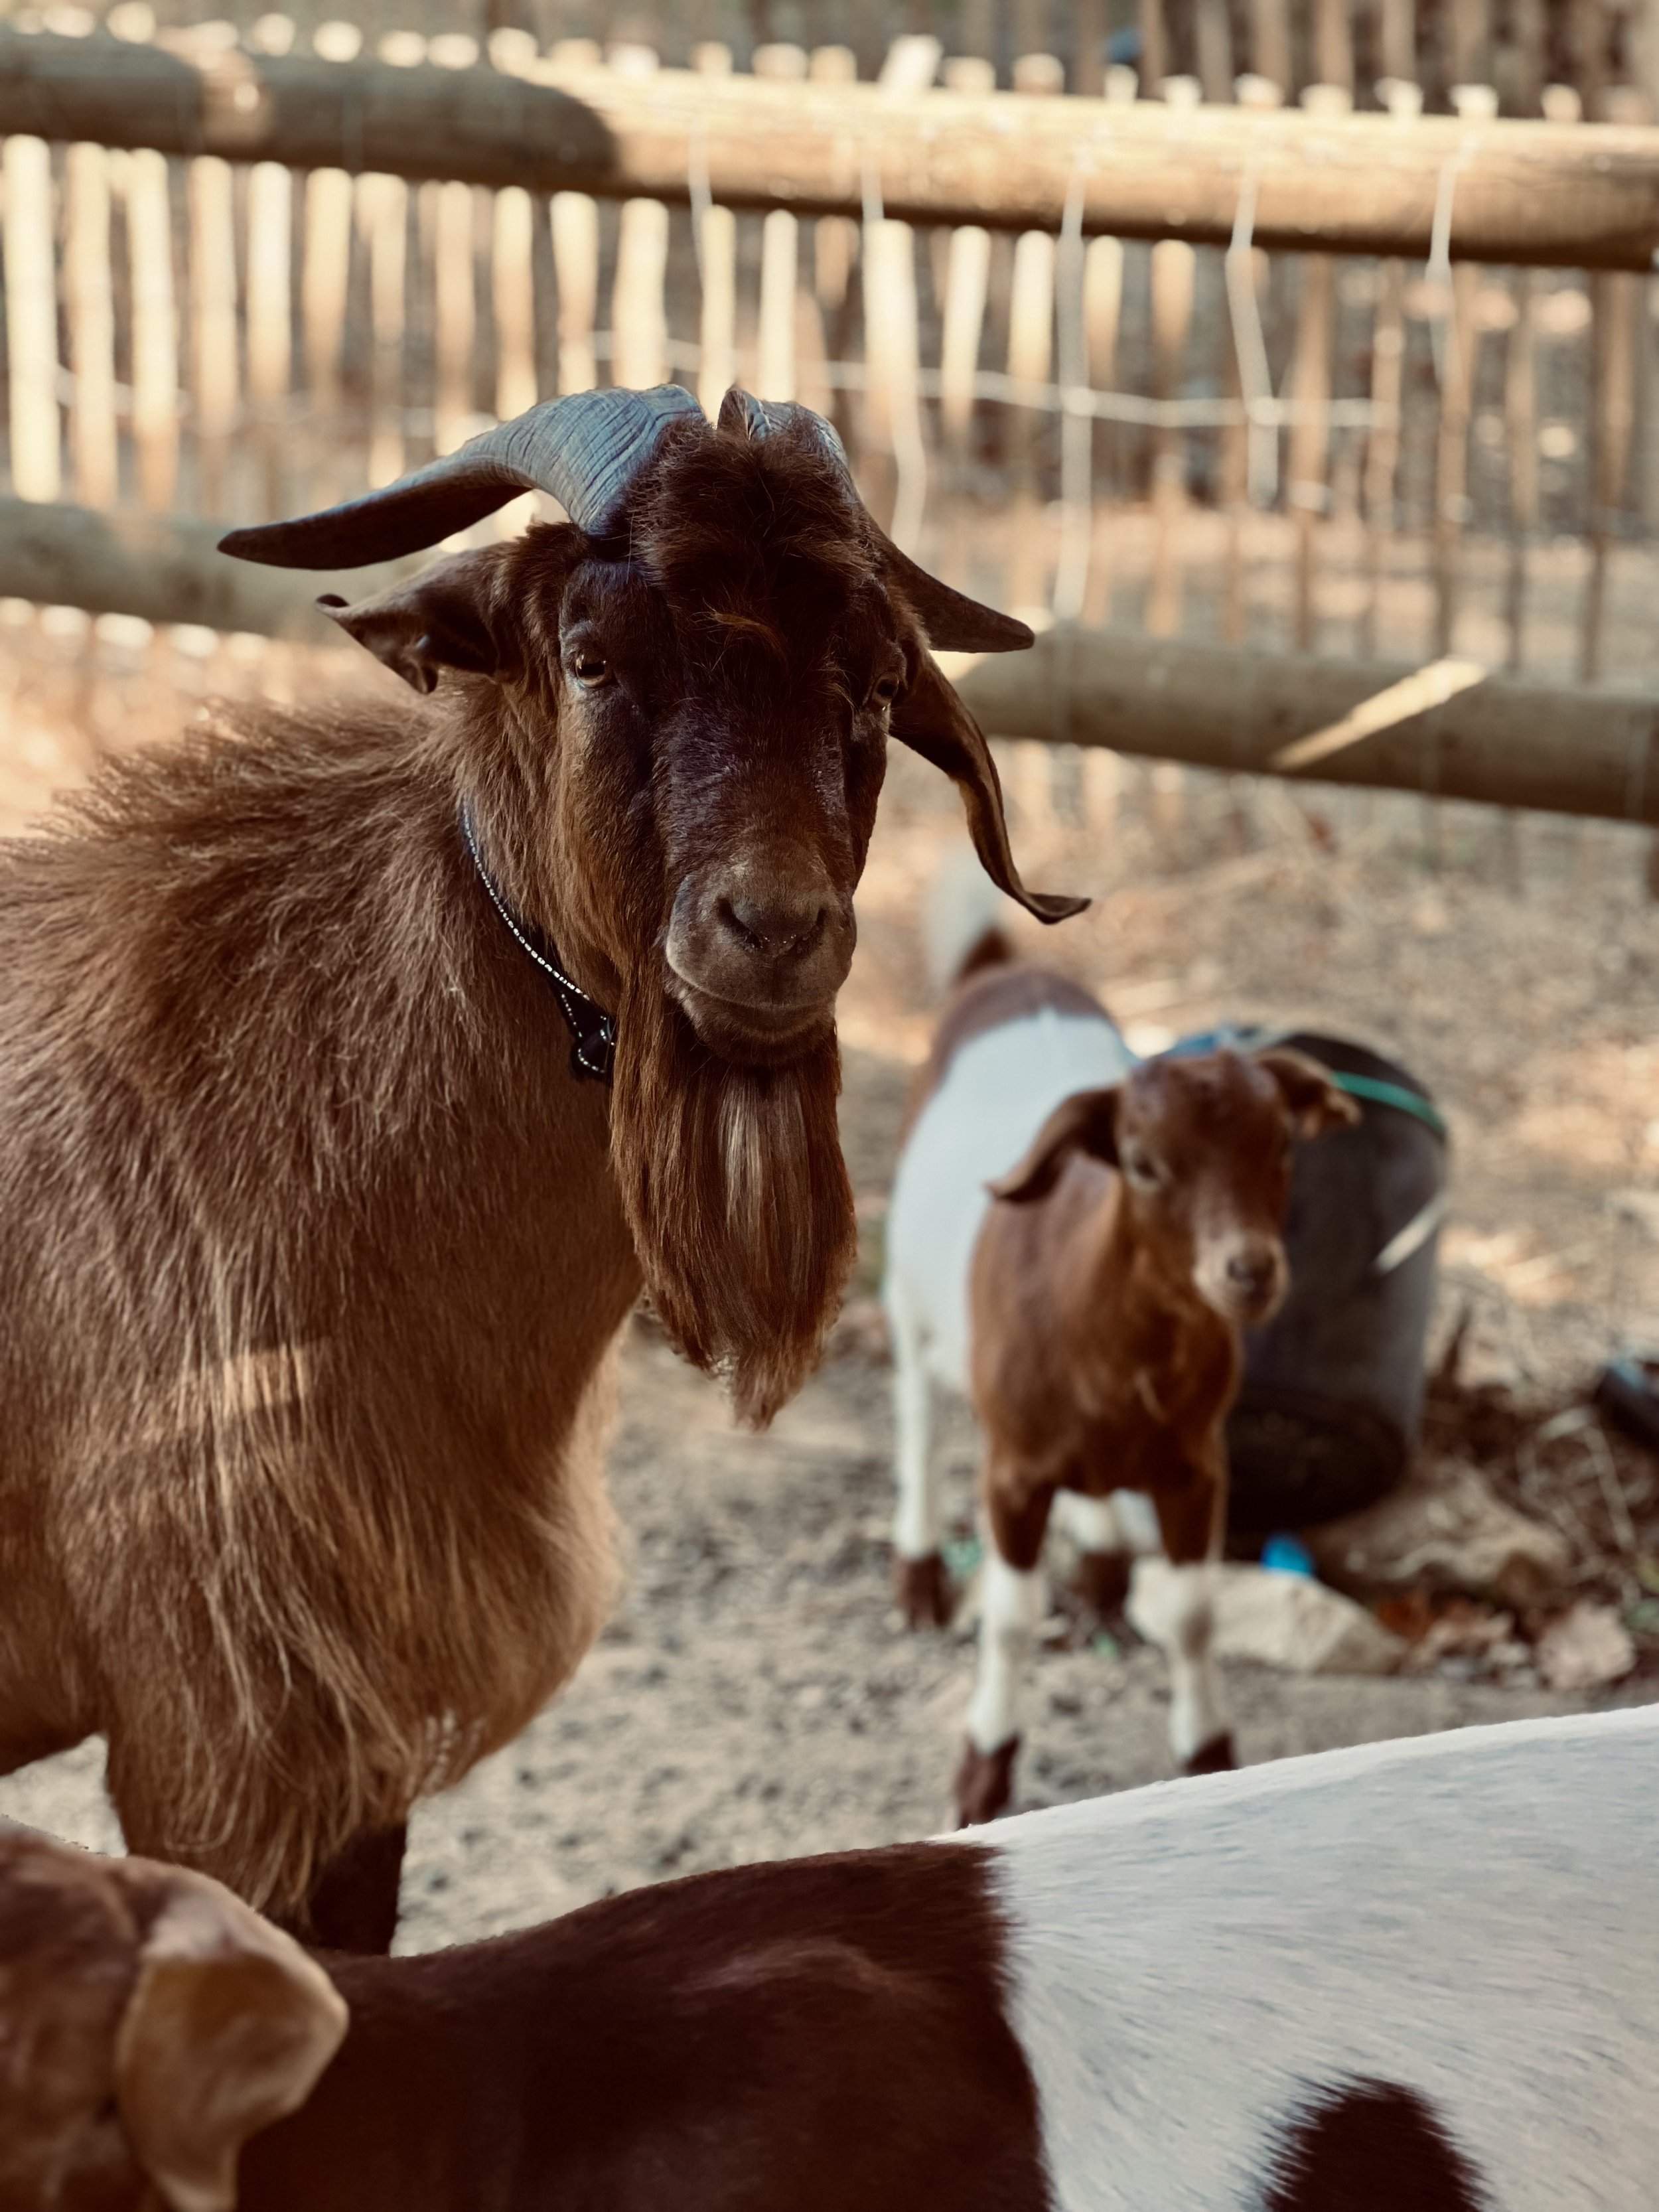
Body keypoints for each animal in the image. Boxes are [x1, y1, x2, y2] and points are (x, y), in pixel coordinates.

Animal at [883, 915, 1355, 1824]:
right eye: (1140, 1162)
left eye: (1282, 1142)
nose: (1248, 1272)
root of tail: (1007, 970)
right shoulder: (1013, 1472)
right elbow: (1010, 1619)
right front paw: (982, 1770)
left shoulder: (1196, 1464)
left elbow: (1194, 1615)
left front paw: (1209, 1754)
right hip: (906, 1292)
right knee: (918, 1415)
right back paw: (918, 1573)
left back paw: (1100, 1565)